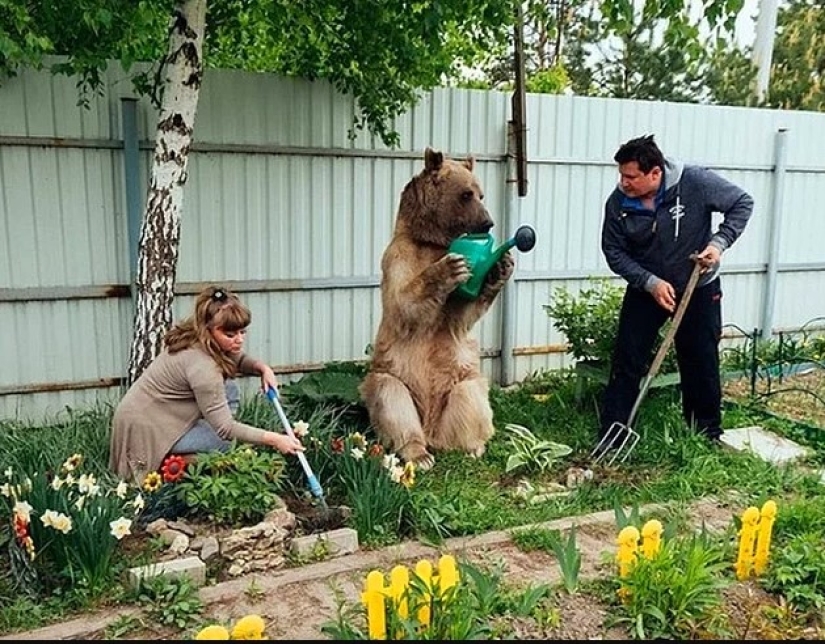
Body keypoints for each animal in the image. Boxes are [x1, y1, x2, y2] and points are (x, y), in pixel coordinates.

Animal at [359, 147, 515, 470]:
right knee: (391, 399)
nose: (488, 223)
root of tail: (431, 429)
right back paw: (418, 454)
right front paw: (448, 269)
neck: (432, 242)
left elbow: (461, 316)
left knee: (471, 397)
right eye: (466, 194)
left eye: (481, 193)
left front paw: (500, 267)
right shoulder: (398, 258)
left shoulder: (455, 309)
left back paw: (471, 447)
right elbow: (403, 305)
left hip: (461, 379)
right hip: (394, 379)